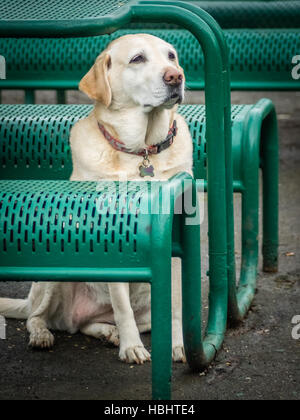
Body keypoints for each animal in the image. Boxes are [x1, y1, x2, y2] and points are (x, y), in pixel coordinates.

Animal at [0, 35, 192, 364]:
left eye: (171, 56)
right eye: (138, 58)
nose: (175, 77)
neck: (141, 151)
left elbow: (176, 306)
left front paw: (178, 345)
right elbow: (122, 306)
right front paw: (132, 346)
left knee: (86, 324)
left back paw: (107, 332)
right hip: (54, 273)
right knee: (37, 317)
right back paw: (43, 335)